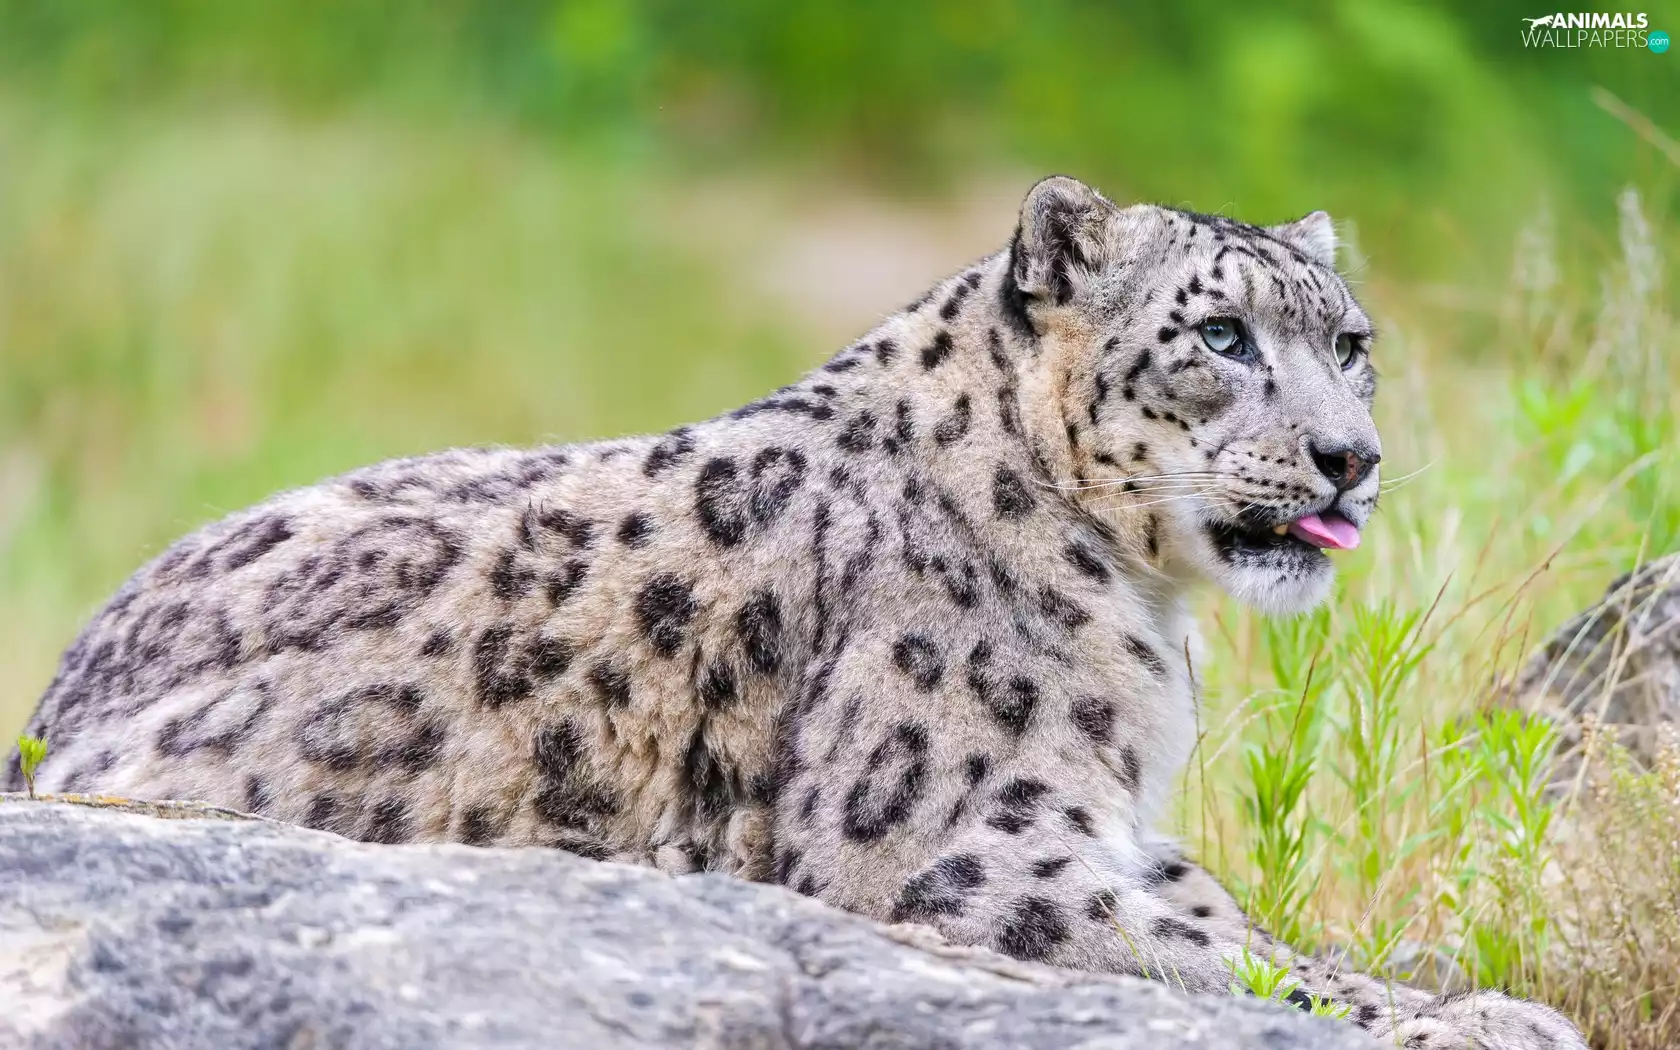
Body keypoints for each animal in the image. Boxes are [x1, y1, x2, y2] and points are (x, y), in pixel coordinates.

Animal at [10, 176, 1583, 1049]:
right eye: (1219, 334)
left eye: (1350, 343)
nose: (1350, 457)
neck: (1148, 624)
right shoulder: (971, 850)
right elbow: (1240, 966)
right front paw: (1486, 1018)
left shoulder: (1124, 837)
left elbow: (1261, 933)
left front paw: (1465, 990)